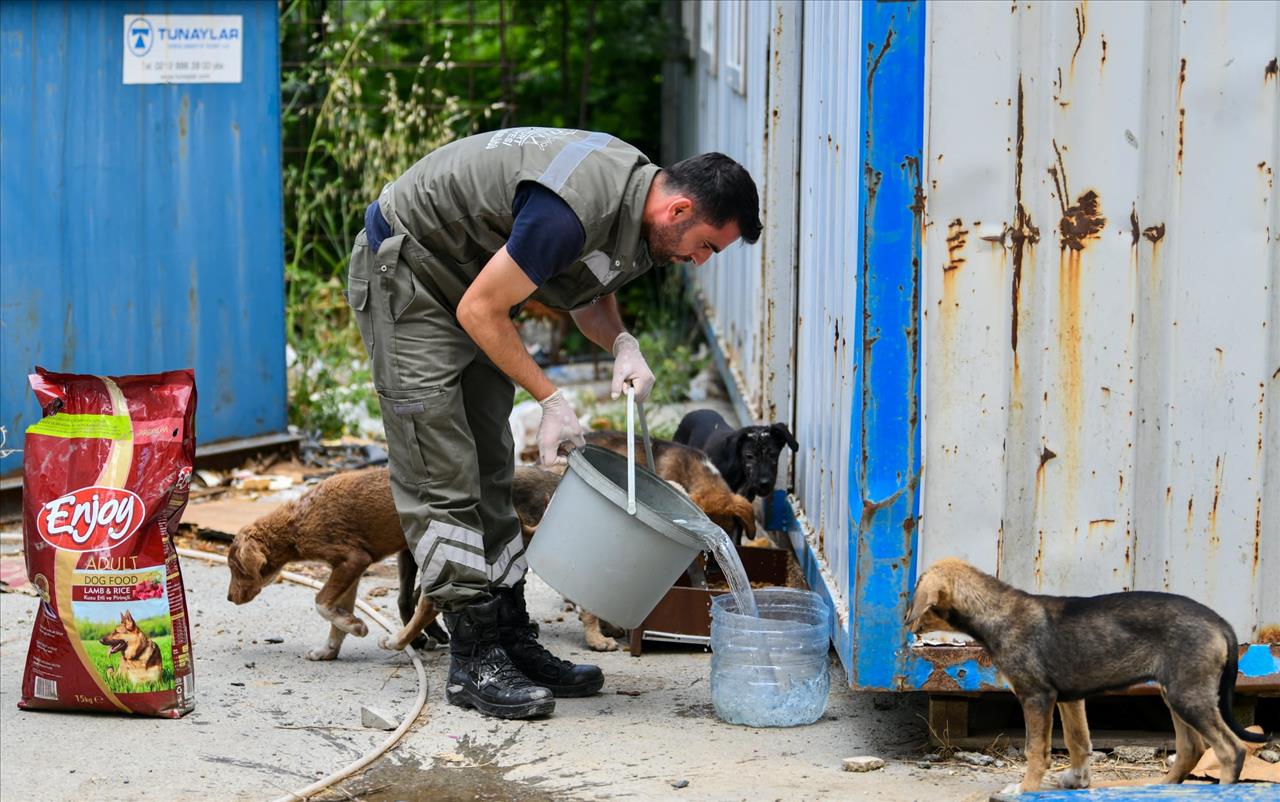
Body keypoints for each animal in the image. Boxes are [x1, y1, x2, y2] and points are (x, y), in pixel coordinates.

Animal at [906, 562, 1264, 793]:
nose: (905, 620)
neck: (997, 610)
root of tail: (1221, 623)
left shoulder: (1036, 695)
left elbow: (1035, 749)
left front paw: (1024, 788)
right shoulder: (1069, 696)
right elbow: (1078, 741)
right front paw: (1077, 781)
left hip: (1187, 694)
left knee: (1230, 750)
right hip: (1176, 692)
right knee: (1192, 747)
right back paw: (1161, 787)